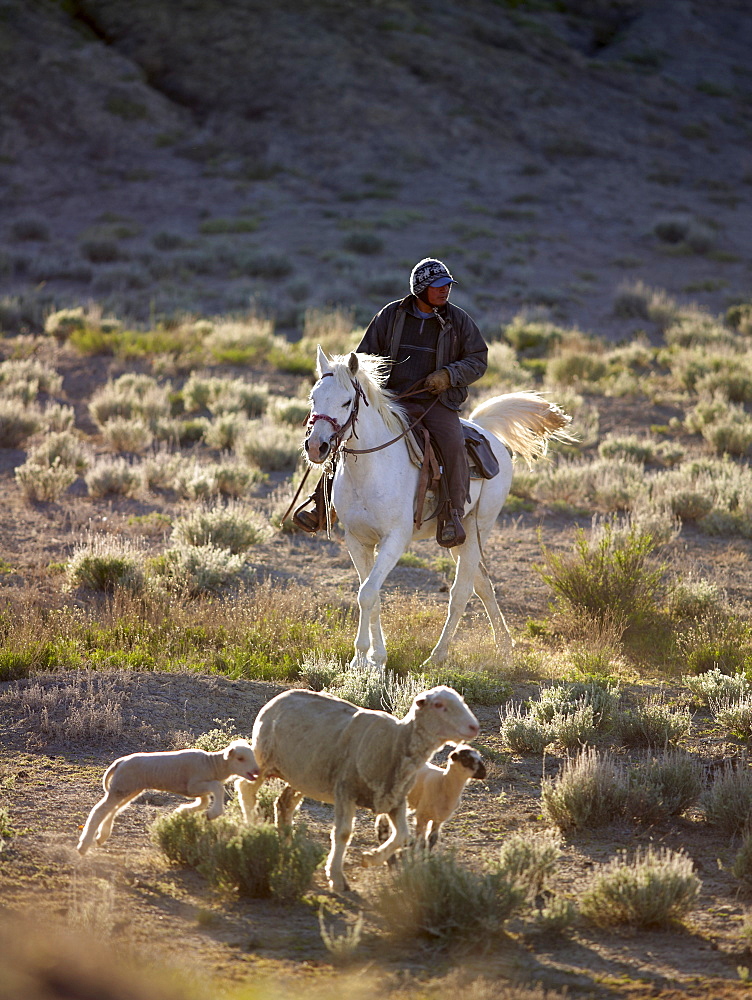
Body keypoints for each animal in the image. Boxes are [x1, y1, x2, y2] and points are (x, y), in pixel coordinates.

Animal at [75, 740, 258, 856]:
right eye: (241, 758)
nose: (256, 771)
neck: (212, 764)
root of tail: (120, 761)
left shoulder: (195, 790)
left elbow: (204, 801)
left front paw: (181, 812)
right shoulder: (194, 785)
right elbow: (217, 787)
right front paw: (212, 814)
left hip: (128, 788)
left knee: (113, 809)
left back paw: (101, 836)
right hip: (123, 787)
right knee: (100, 810)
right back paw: (83, 846)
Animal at [235, 688, 478, 892]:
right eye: (439, 705)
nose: (474, 727)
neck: (396, 743)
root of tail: (281, 696)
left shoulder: (395, 799)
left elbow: (402, 835)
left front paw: (370, 858)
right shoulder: (346, 790)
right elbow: (343, 833)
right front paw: (336, 877)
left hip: (301, 774)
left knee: (284, 804)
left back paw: (287, 843)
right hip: (263, 759)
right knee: (246, 788)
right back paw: (253, 827)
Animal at [302, 348, 572, 668]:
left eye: (346, 401)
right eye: (314, 397)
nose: (316, 446)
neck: (372, 469)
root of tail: (485, 433)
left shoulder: (395, 539)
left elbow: (367, 594)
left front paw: (366, 658)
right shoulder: (357, 540)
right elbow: (372, 594)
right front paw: (370, 657)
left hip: (477, 527)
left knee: (462, 591)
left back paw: (438, 655)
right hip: (458, 536)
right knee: (483, 584)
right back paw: (504, 647)